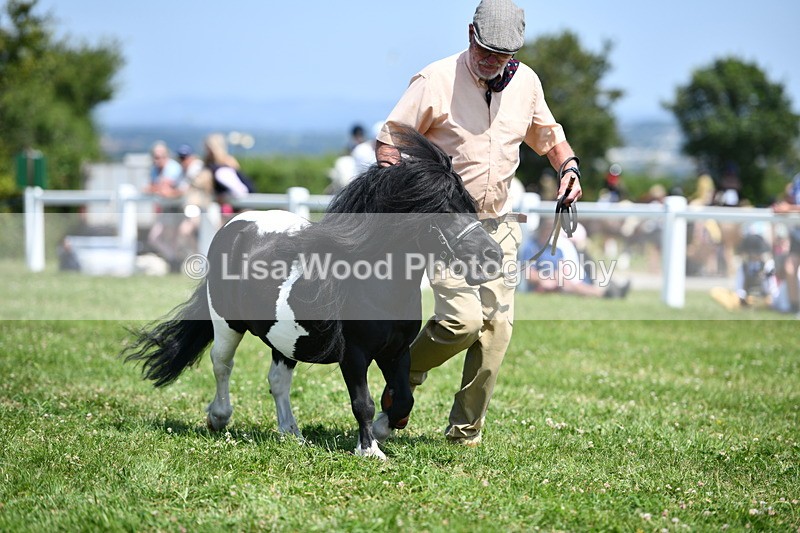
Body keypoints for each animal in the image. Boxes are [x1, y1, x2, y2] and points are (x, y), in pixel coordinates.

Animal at [122, 126, 503, 460]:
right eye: (441, 208)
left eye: (469, 204)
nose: (493, 257)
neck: (375, 284)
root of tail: (234, 226)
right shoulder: (354, 354)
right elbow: (363, 403)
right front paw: (369, 450)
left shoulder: (396, 351)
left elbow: (403, 399)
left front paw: (382, 432)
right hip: (227, 323)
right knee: (222, 363)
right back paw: (219, 417)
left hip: (284, 339)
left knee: (277, 380)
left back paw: (292, 432)